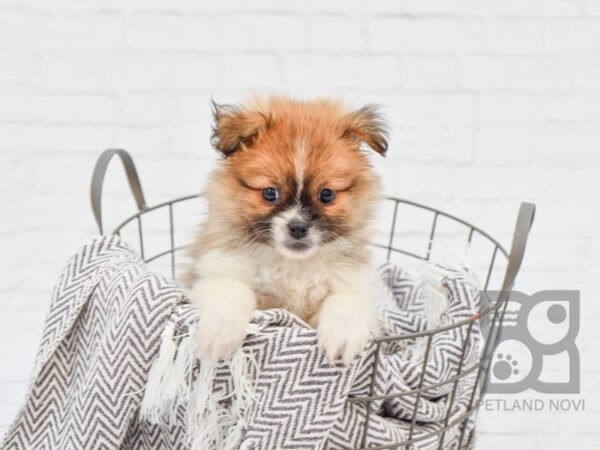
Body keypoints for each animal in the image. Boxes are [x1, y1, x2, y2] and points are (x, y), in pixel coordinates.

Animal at [184, 96, 390, 364]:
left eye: (326, 195)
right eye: (270, 193)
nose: (298, 227)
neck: (293, 266)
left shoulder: (353, 284)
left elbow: (345, 303)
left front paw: (342, 335)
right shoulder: (219, 271)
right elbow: (232, 293)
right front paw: (219, 333)